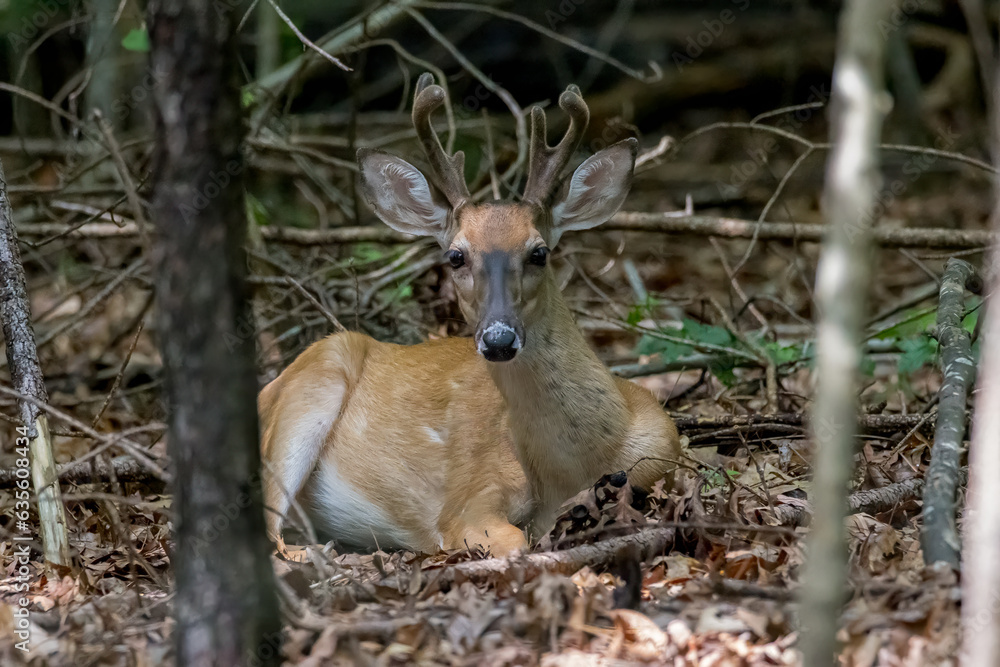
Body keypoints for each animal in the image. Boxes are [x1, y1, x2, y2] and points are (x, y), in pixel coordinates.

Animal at [258, 73, 680, 557]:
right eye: (456, 255)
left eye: (540, 252)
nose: (498, 339)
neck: (580, 465)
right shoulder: (468, 501)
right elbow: (514, 539)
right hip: (309, 390)